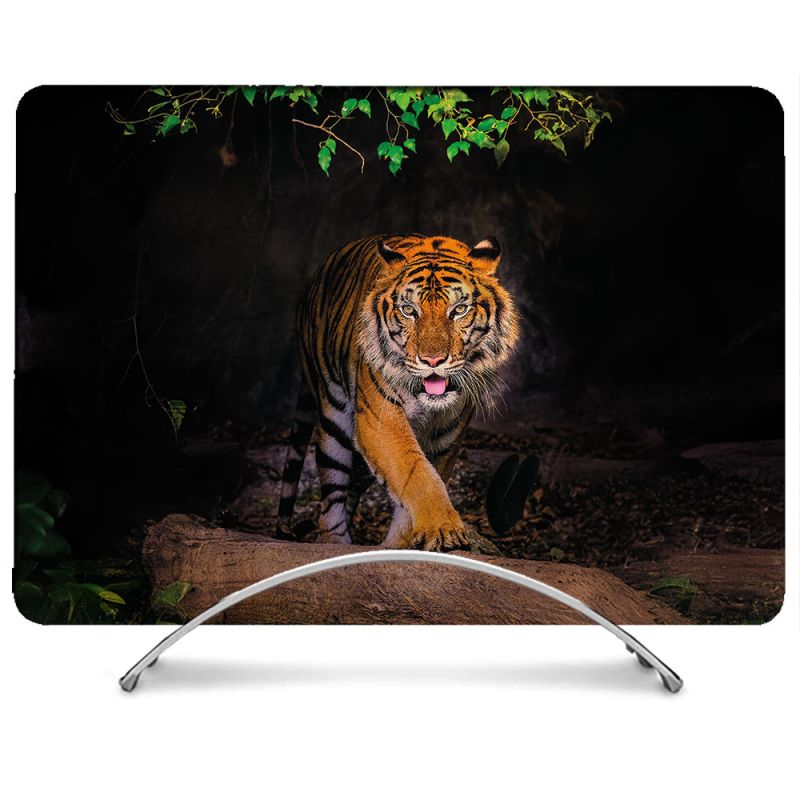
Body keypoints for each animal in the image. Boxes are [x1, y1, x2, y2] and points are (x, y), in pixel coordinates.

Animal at [277, 233, 519, 552]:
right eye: (409, 311)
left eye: (459, 310)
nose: (432, 360)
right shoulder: (380, 420)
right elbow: (416, 473)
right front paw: (442, 527)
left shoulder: (447, 435)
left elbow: (424, 478)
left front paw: (403, 542)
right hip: (333, 420)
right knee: (331, 500)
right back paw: (336, 544)